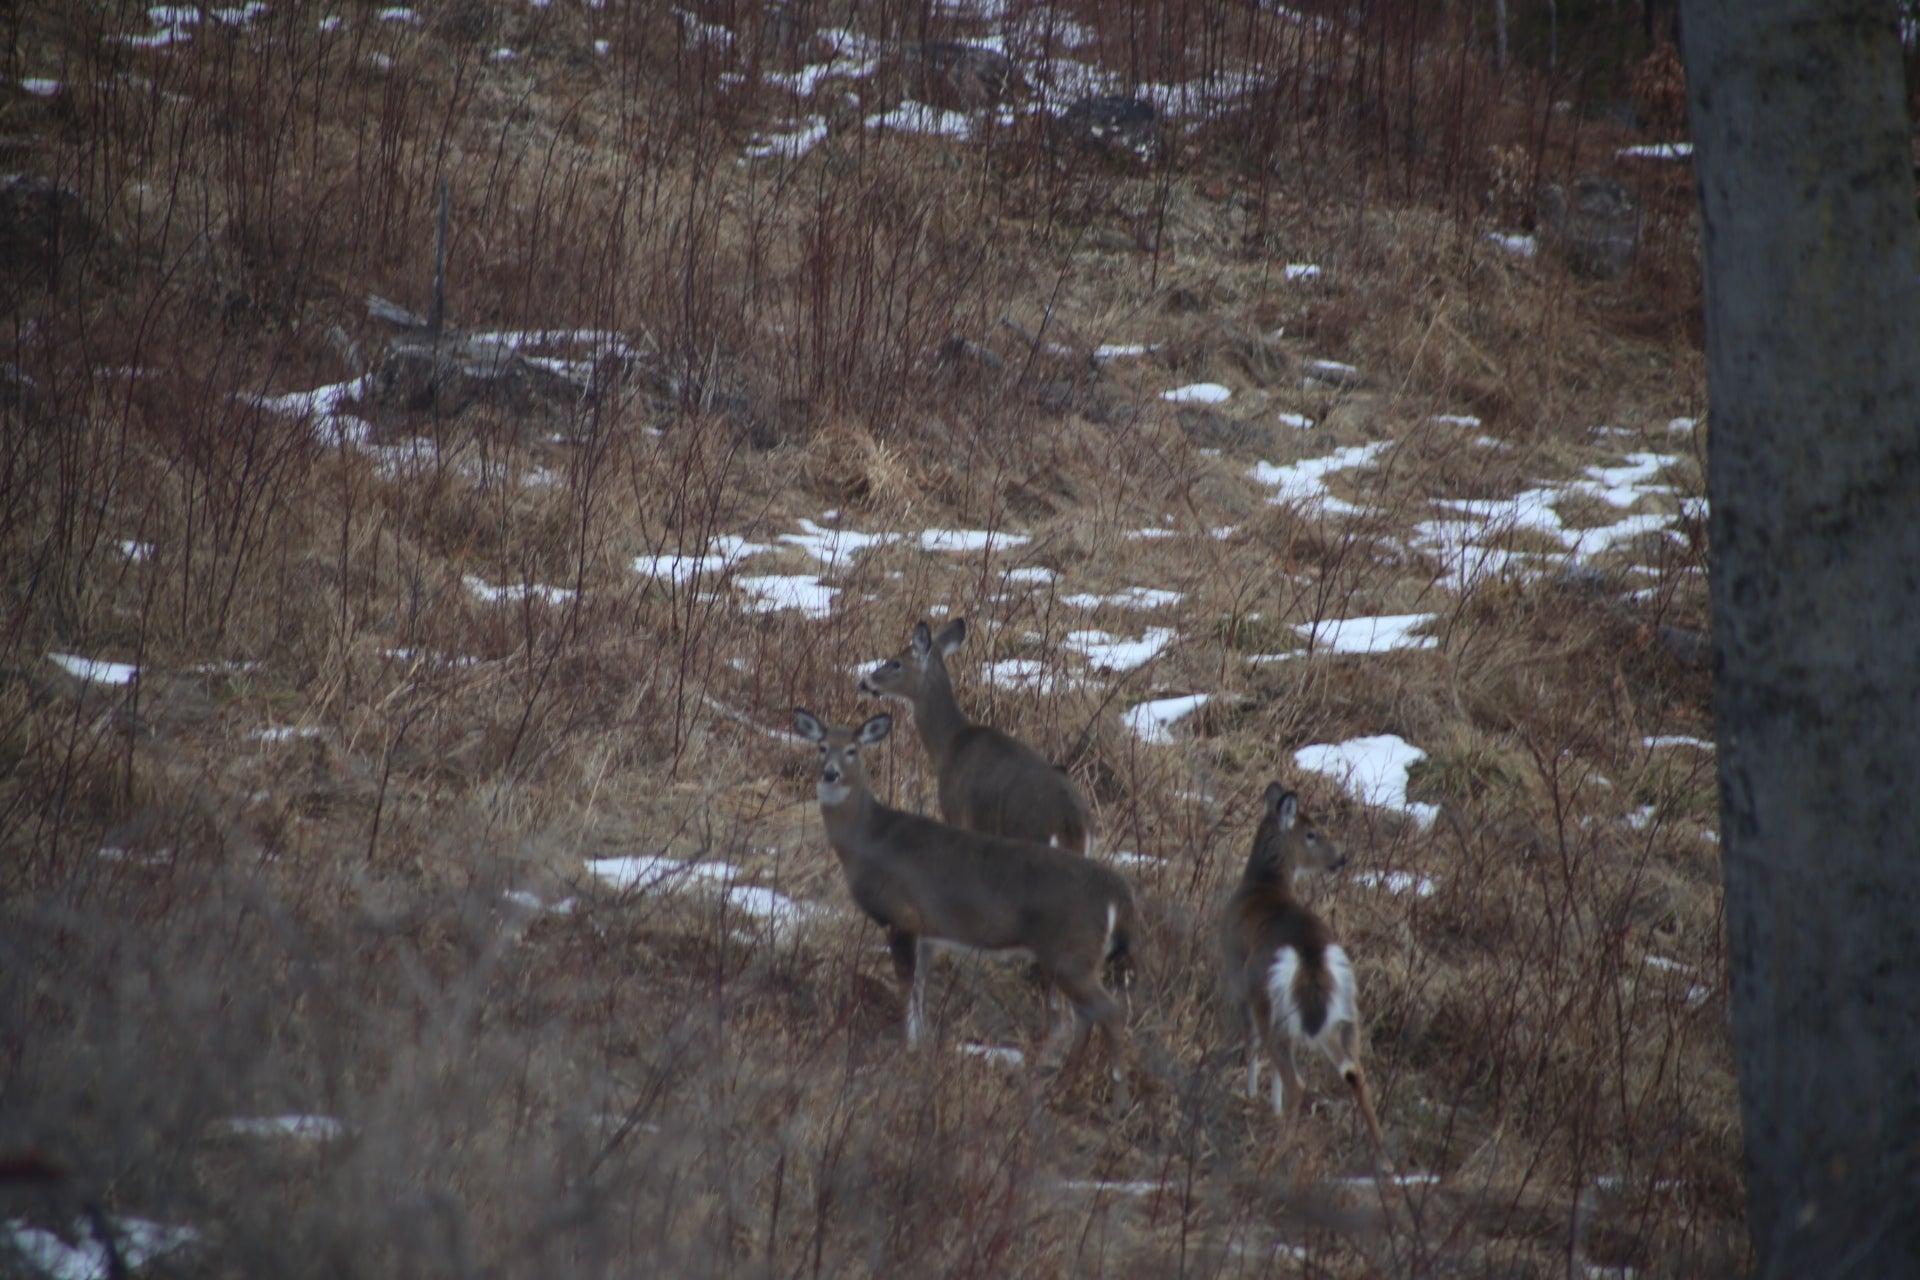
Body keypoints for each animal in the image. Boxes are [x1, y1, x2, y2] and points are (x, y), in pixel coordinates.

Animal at [793, 709, 1134, 1095]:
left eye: (852, 750)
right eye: (821, 746)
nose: (830, 773)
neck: (869, 840)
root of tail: (1115, 893)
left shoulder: (901, 915)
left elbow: (907, 986)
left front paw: (910, 1048)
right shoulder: (925, 930)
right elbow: (920, 987)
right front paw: (922, 1043)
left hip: (1070, 951)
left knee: (1109, 1011)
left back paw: (1115, 1090)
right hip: (1076, 958)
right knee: (1087, 1015)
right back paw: (1063, 1079)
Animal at [1221, 783, 1387, 1163]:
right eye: (1311, 833)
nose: (1342, 857)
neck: (1262, 885)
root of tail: (1311, 954)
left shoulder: (1236, 981)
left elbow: (1250, 1042)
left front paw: (1252, 1096)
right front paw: (1272, 1107)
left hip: (1266, 998)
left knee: (1297, 1080)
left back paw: (1279, 1150)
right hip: (1344, 1006)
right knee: (1356, 1073)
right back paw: (1384, 1156)